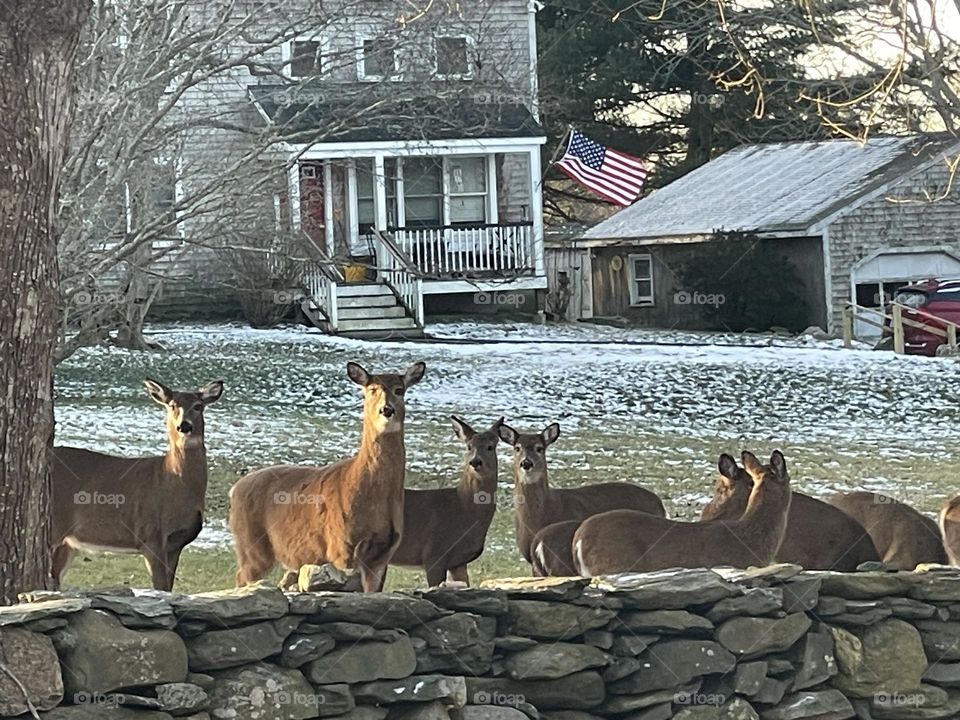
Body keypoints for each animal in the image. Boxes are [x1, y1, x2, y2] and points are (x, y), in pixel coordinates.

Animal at [51, 378, 224, 591]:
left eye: (198, 406)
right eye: (172, 405)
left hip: (68, 542)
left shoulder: (175, 545)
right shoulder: (150, 536)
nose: (184, 426)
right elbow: (160, 587)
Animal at [229, 361, 425, 593]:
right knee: (242, 576)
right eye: (371, 389)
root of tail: (235, 489)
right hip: (251, 545)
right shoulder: (340, 547)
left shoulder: (382, 556)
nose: (387, 409)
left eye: (399, 390)